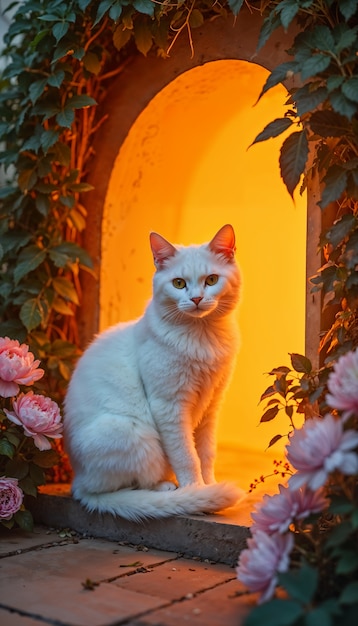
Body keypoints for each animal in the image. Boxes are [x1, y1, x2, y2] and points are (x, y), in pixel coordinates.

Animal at [64, 222, 243, 520]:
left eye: (211, 280)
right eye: (178, 283)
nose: (196, 298)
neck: (202, 337)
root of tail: (77, 482)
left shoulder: (211, 406)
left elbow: (206, 454)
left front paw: (210, 485)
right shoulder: (169, 406)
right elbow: (187, 456)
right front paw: (197, 491)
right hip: (133, 433)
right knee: (126, 486)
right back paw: (168, 489)